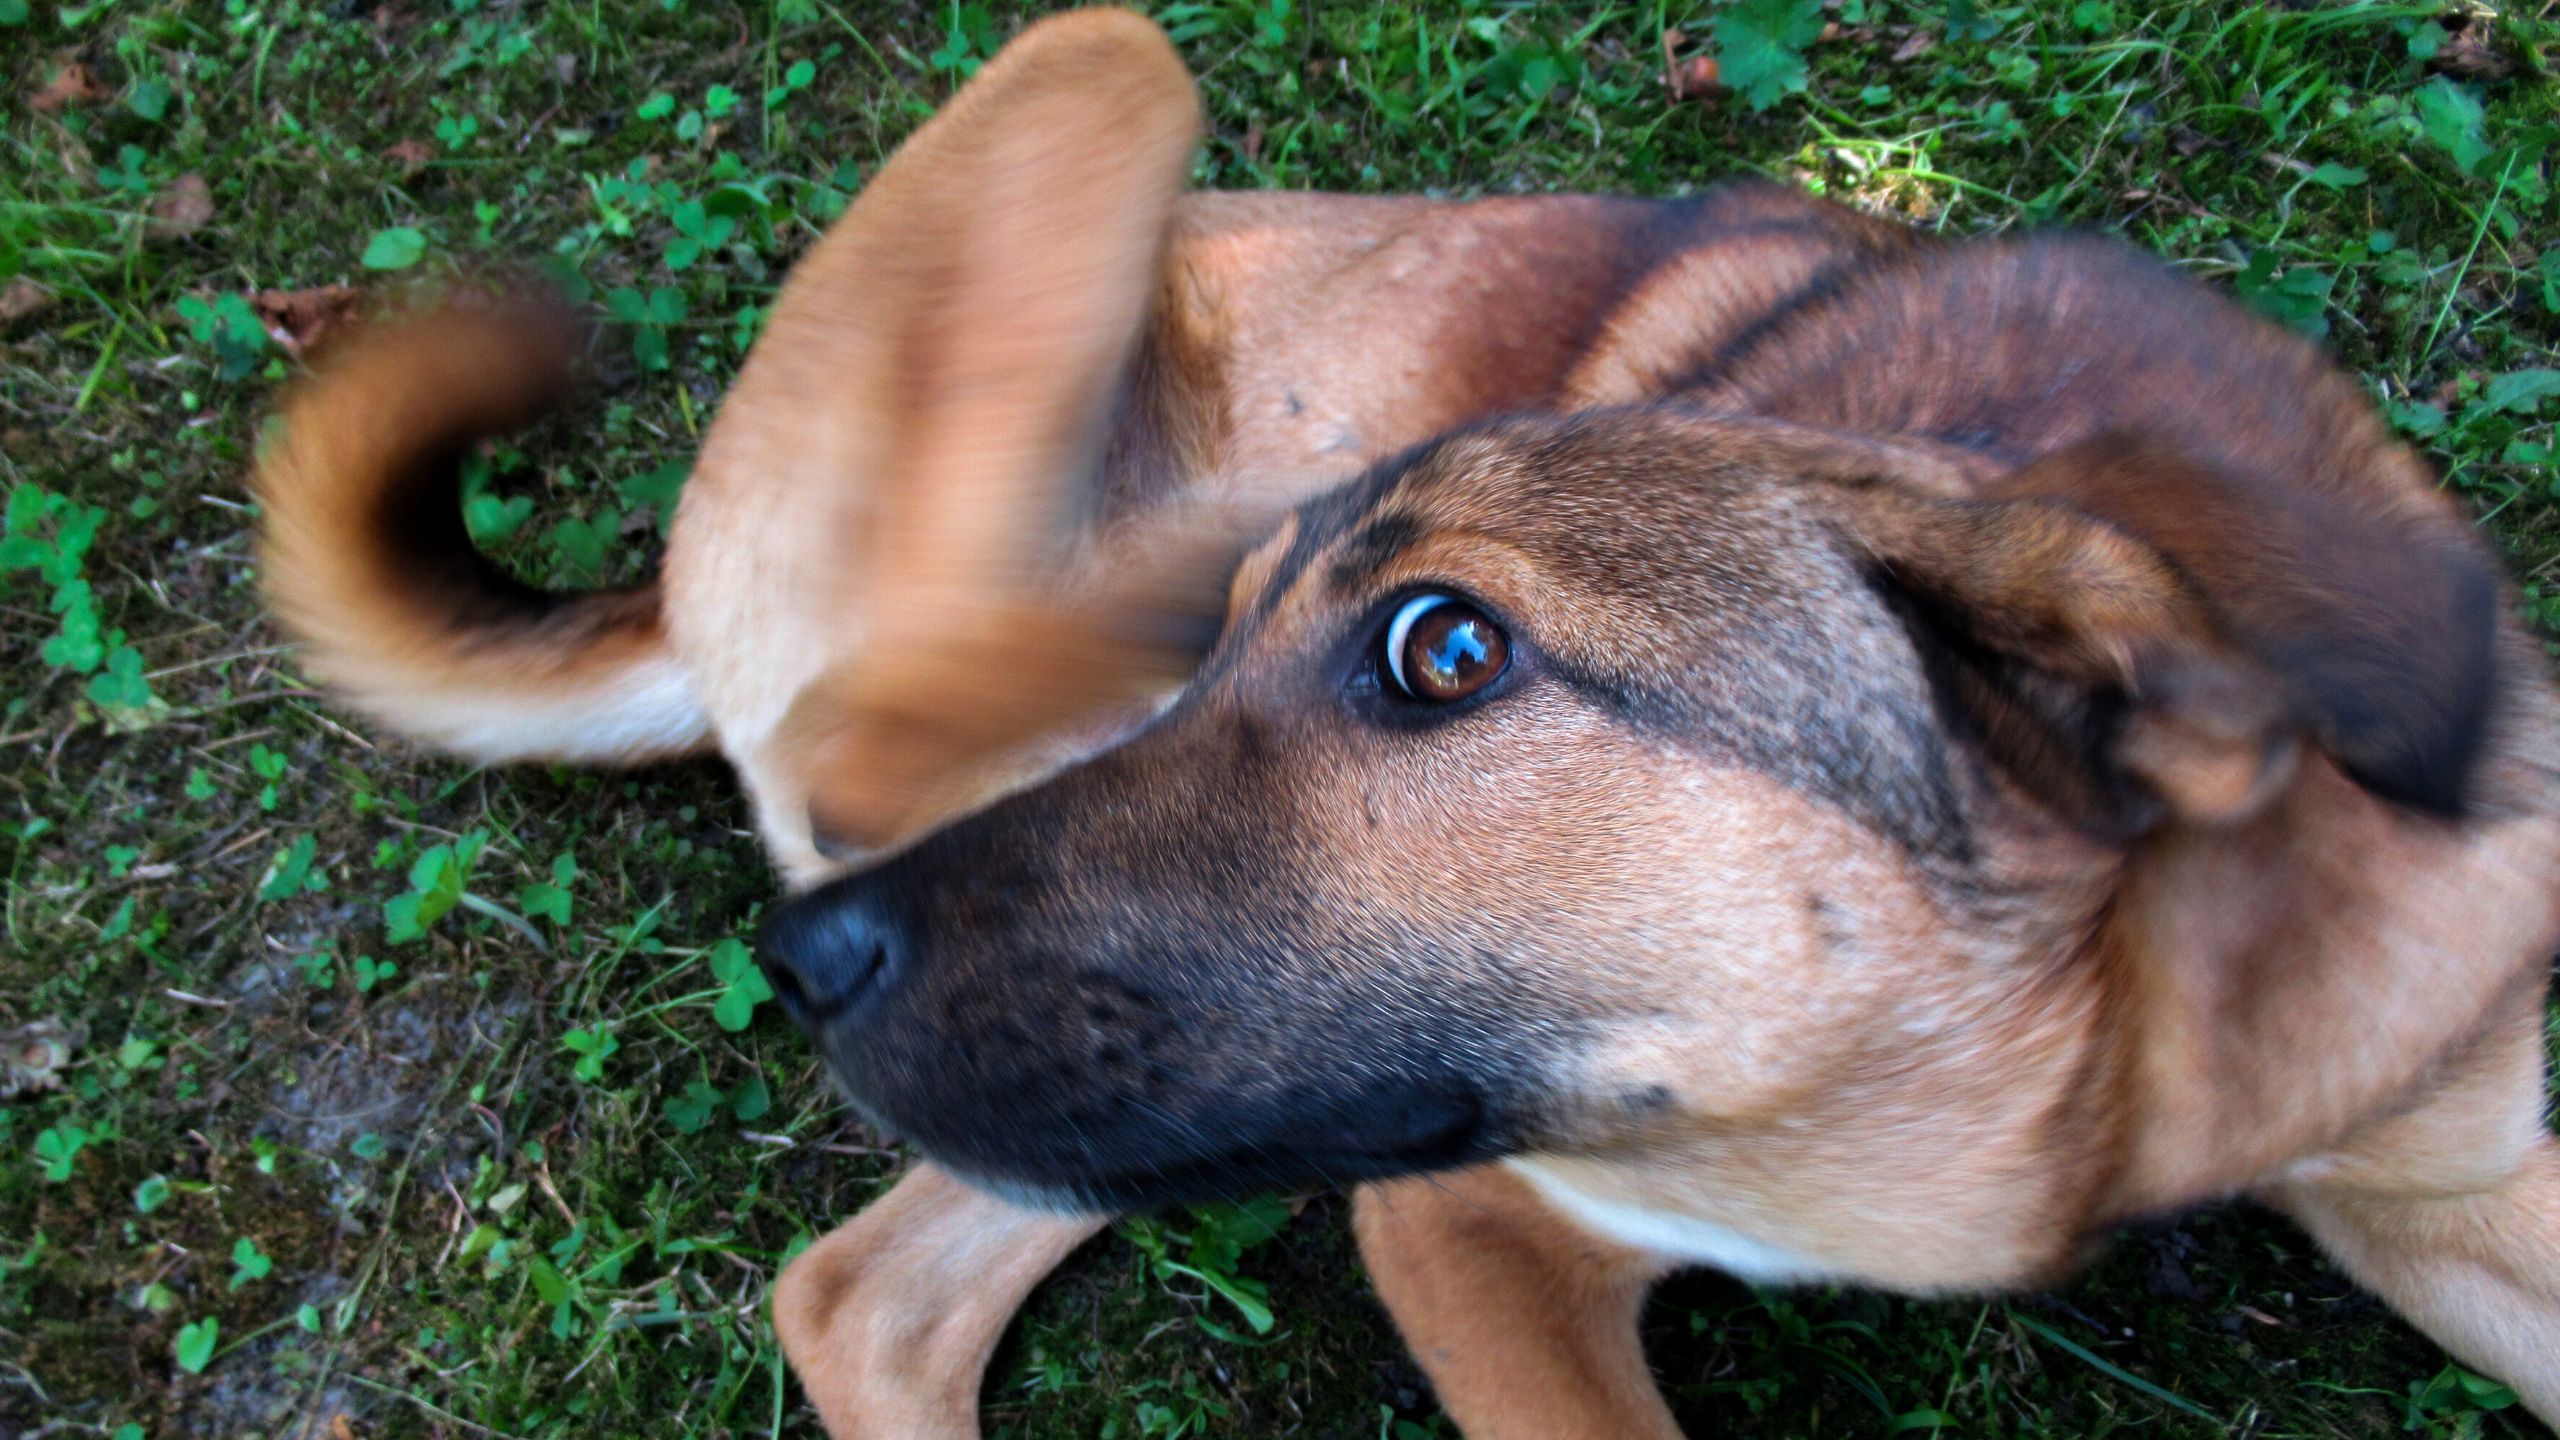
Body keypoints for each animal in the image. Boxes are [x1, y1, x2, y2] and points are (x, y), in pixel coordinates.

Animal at [259, 11, 2560, 1434]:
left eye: (1447, 652)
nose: (810, 965)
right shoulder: (1479, 1224)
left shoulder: (2461, 1150)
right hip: (1097, 89)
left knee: (870, 1291)